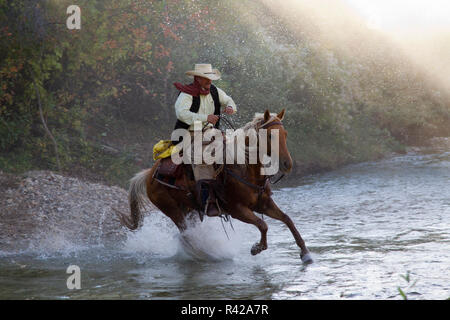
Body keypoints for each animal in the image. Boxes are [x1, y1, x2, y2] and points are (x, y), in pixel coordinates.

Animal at [118, 109, 312, 264]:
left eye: (285, 134)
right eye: (270, 136)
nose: (287, 164)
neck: (244, 168)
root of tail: (149, 173)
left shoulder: (263, 203)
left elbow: (287, 219)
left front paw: (305, 253)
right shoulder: (237, 209)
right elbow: (263, 225)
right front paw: (257, 248)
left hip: (190, 209)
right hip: (171, 209)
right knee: (186, 234)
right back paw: (205, 254)